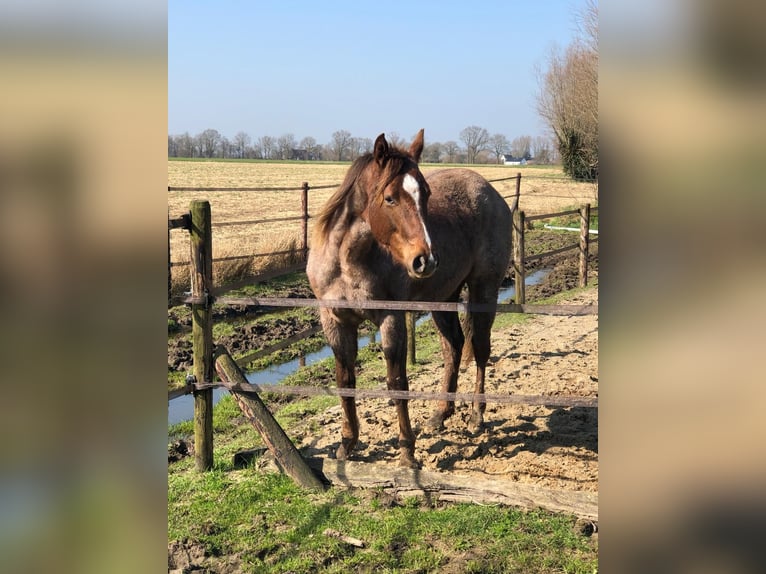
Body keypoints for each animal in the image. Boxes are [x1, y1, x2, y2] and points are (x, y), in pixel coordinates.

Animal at [308, 130, 516, 468]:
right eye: (390, 197)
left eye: (426, 194)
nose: (426, 260)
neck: (347, 262)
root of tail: (491, 193)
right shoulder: (335, 321)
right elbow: (345, 380)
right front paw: (346, 445)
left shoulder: (390, 319)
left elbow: (397, 384)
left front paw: (407, 452)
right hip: (442, 299)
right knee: (453, 347)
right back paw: (440, 414)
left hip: (484, 290)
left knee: (480, 349)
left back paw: (476, 415)